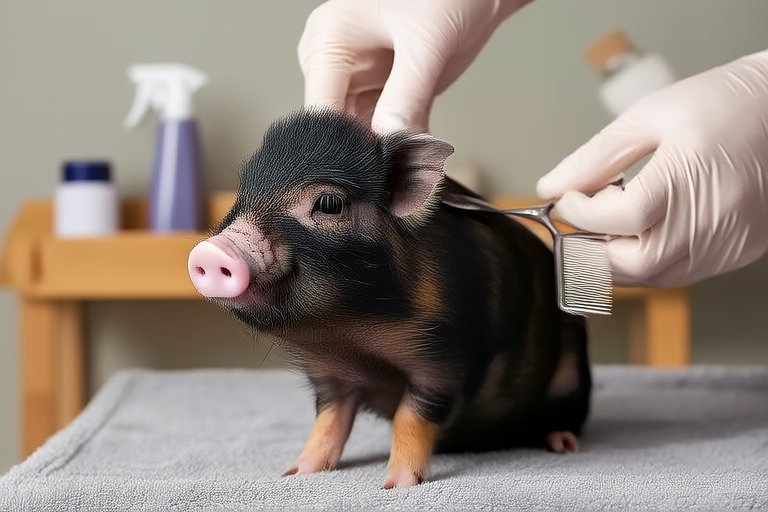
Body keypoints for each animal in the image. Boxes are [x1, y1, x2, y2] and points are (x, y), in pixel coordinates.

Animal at [187, 108, 591, 488]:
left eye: (329, 203)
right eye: (242, 195)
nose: (210, 251)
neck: (349, 336)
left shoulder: (444, 356)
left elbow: (410, 416)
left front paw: (396, 485)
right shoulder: (330, 375)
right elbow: (329, 422)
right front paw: (294, 473)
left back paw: (561, 444)